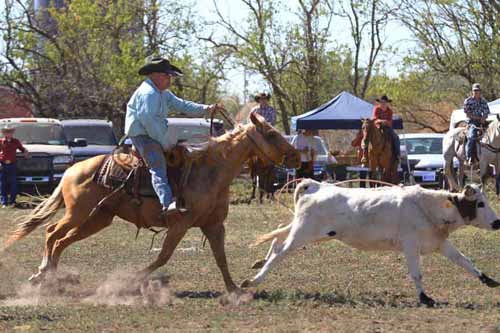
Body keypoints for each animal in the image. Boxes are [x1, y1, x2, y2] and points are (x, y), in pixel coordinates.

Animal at [2, 112, 300, 294]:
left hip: (97, 218)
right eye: (271, 134)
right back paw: (44, 275)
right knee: (53, 233)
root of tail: (72, 170)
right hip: (79, 213)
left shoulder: (214, 225)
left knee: (60, 239)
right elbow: (163, 256)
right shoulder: (179, 225)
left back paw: (48, 277)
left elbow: (221, 258)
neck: (209, 172)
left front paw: (235, 289)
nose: (297, 156)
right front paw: (132, 280)